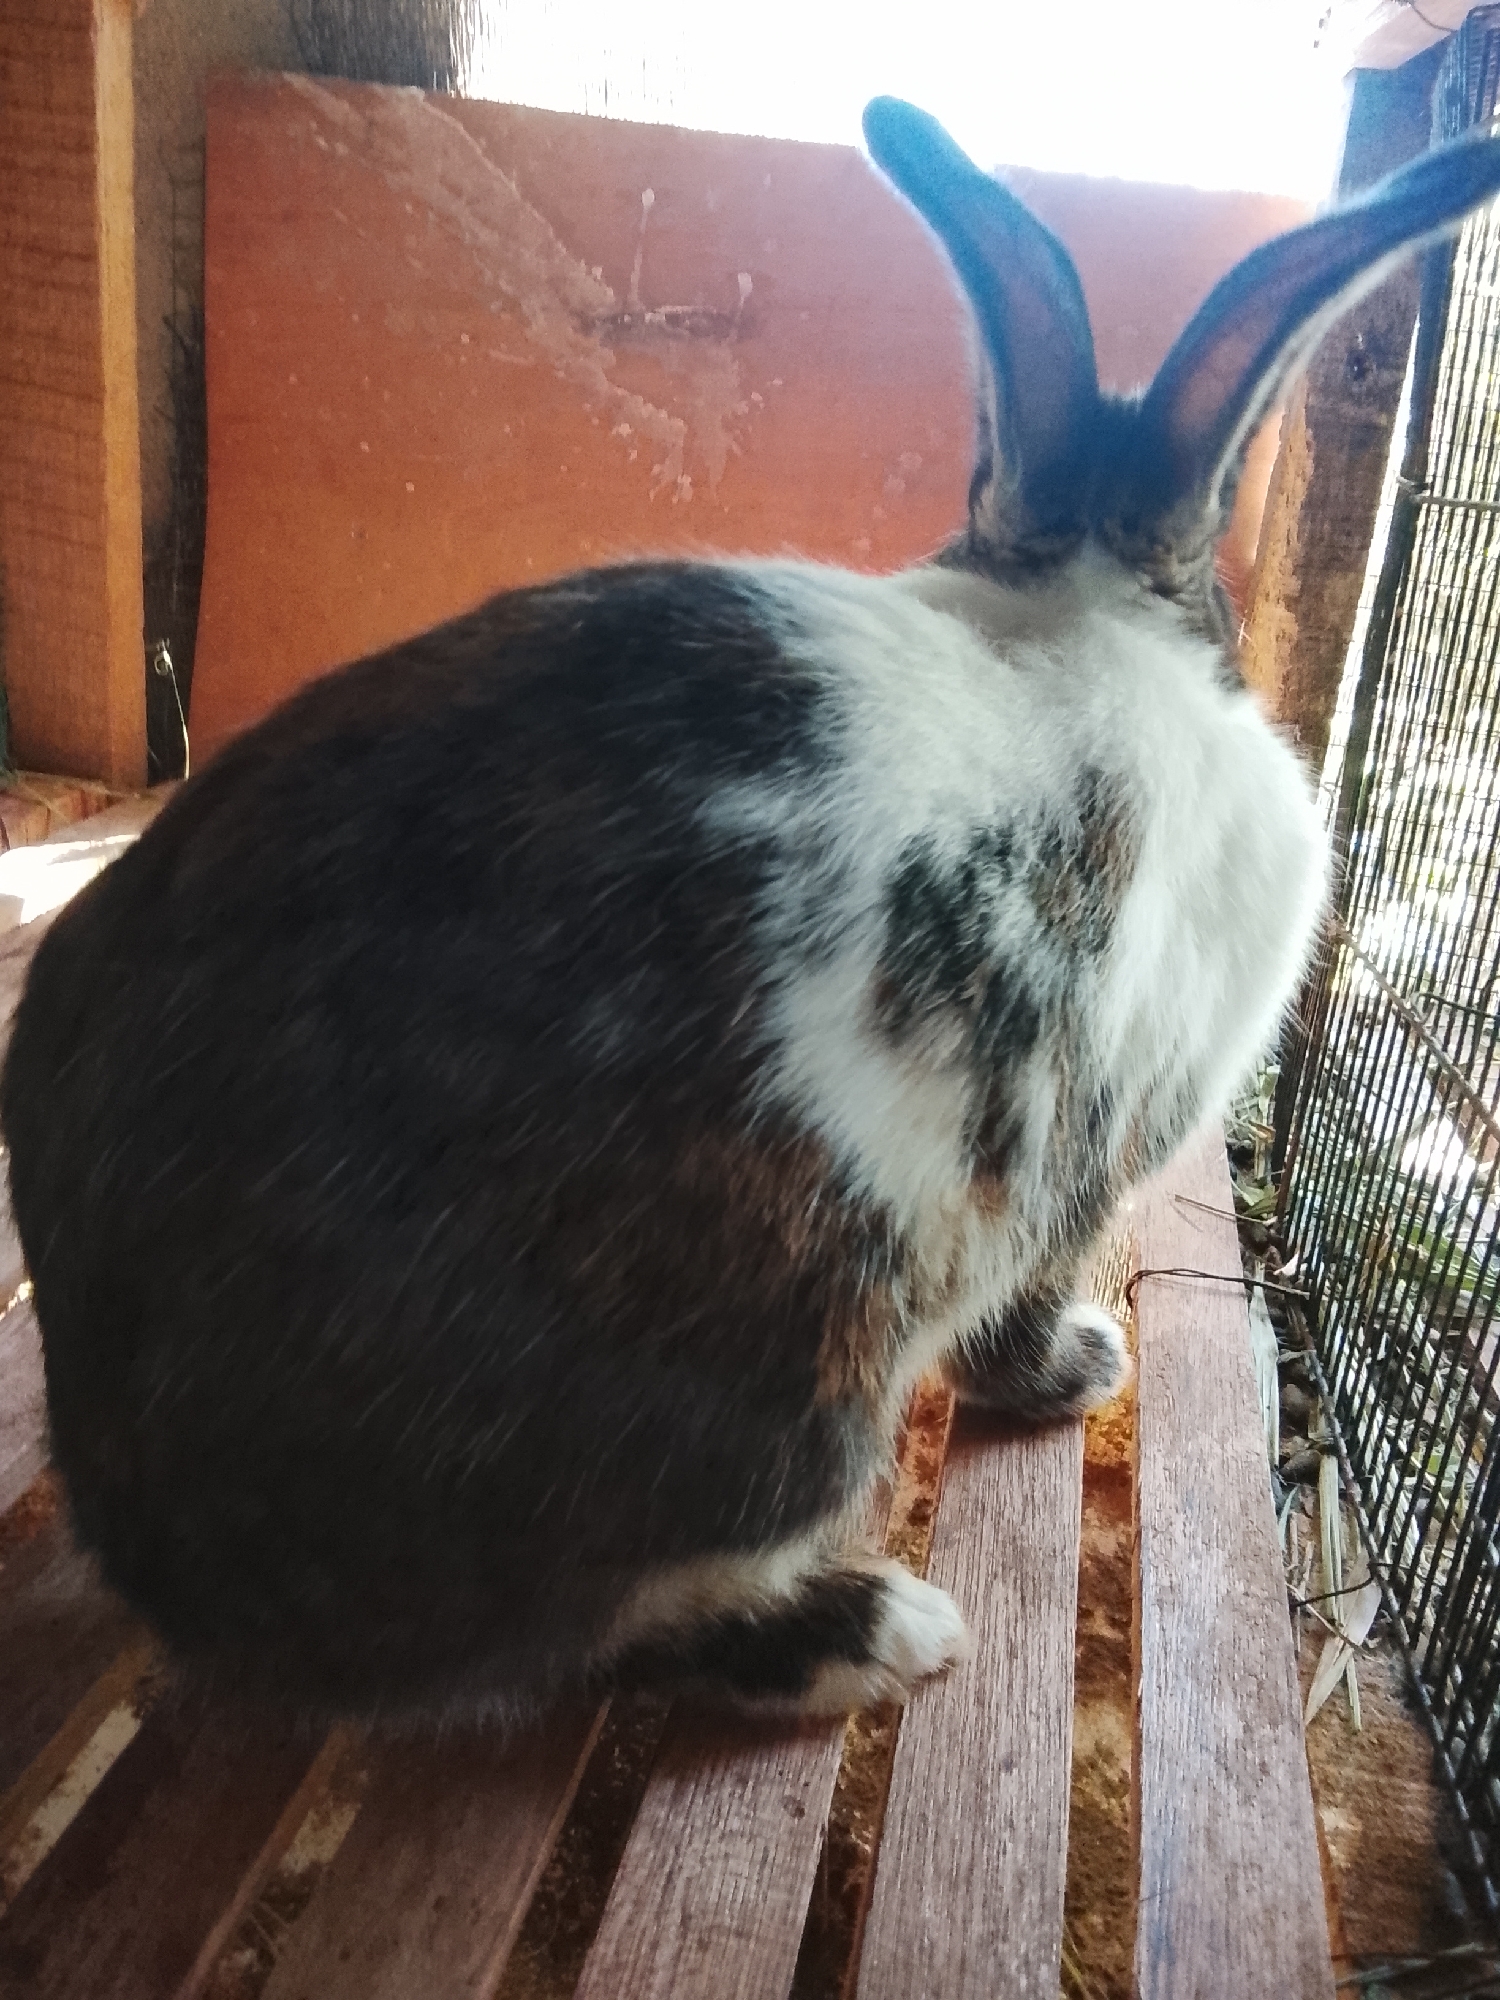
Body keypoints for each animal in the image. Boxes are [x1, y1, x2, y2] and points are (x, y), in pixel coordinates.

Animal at [6, 97, 1500, 1728]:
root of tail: (181, 1551)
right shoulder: (1084, 1165)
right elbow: (1018, 1304)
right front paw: (1078, 1368)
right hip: (784, 1397)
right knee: (598, 1627)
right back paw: (871, 1630)